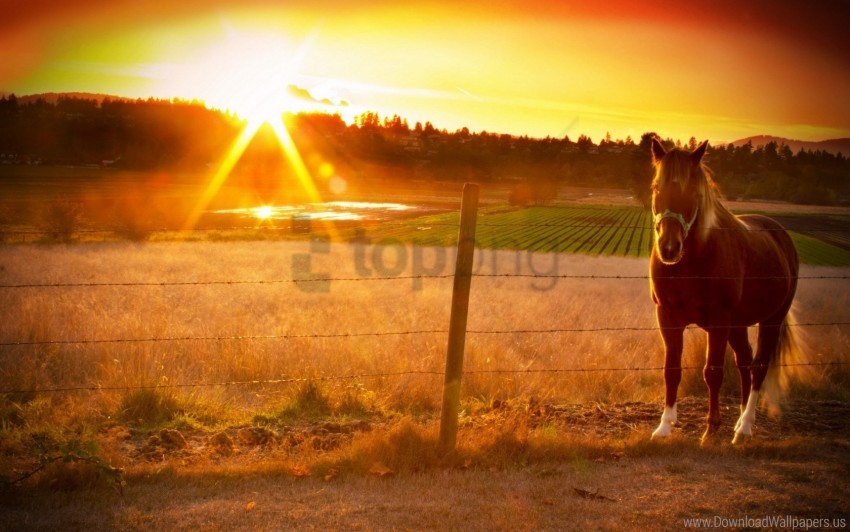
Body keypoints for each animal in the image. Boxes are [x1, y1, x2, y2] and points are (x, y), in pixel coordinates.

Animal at [644, 138, 800, 444]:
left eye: (693, 191)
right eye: (656, 187)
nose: (669, 248)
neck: (691, 263)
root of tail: (779, 234)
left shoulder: (718, 321)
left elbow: (712, 373)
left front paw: (711, 429)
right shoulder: (667, 317)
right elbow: (672, 370)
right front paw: (664, 426)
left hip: (771, 320)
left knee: (759, 366)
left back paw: (745, 427)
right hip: (737, 325)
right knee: (745, 362)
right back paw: (739, 419)